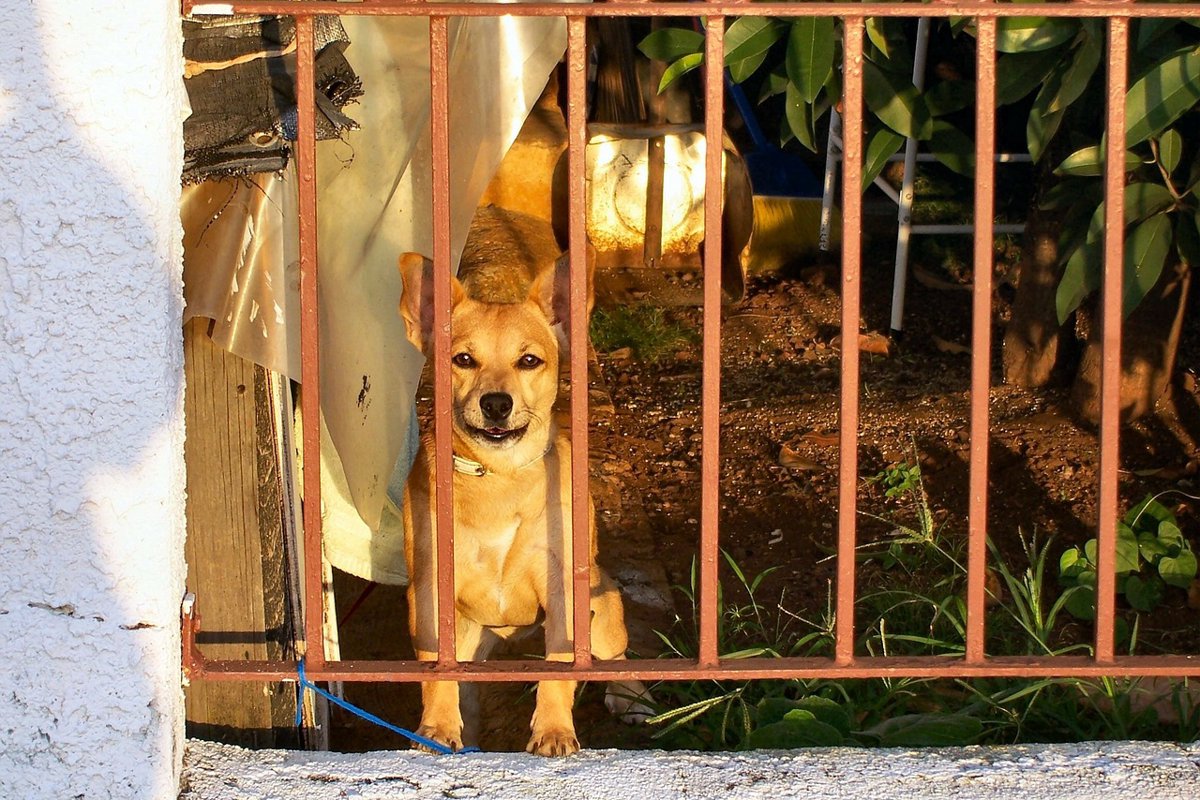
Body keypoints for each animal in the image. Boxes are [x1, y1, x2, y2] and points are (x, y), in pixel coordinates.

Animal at [398, 235, 652, 753]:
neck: (499, 476)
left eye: (529, 360)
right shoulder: (431, 593)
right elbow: (436, 673)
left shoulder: (562, 589)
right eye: (463, 359)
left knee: (615, 655)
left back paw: (631, 696)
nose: (497, 403)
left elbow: (558, 672)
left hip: (602, 611)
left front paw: (554, 730)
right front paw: (437, 727)